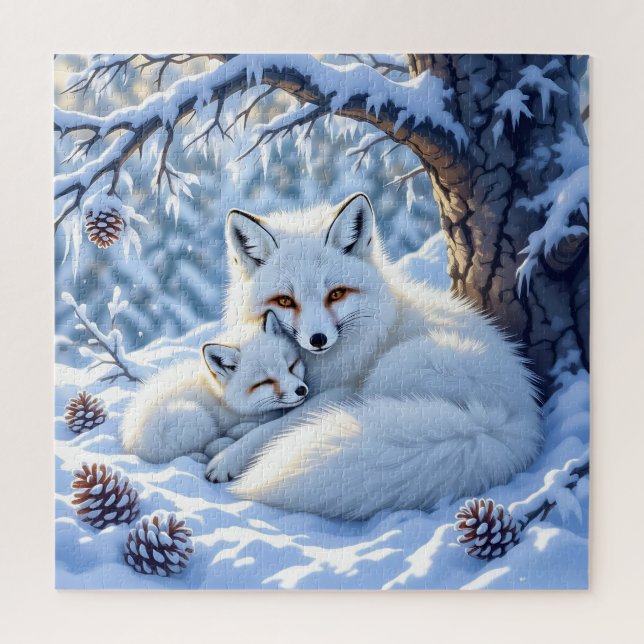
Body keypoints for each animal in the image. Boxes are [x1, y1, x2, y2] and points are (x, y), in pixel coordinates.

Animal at [119, 311, 308, 469]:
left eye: (291, 366)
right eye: (265, 382)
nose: (301, 390)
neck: (221, 399)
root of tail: (130, 442)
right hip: (197, 417)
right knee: (187, 454)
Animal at [204, 192, 543, 521]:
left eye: (336, 294)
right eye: (285, 300)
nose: (317, 339)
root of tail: (508, 423)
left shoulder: (341, 391)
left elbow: (279, 425)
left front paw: (230, 457)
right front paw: (233, 436)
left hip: (390, 370)